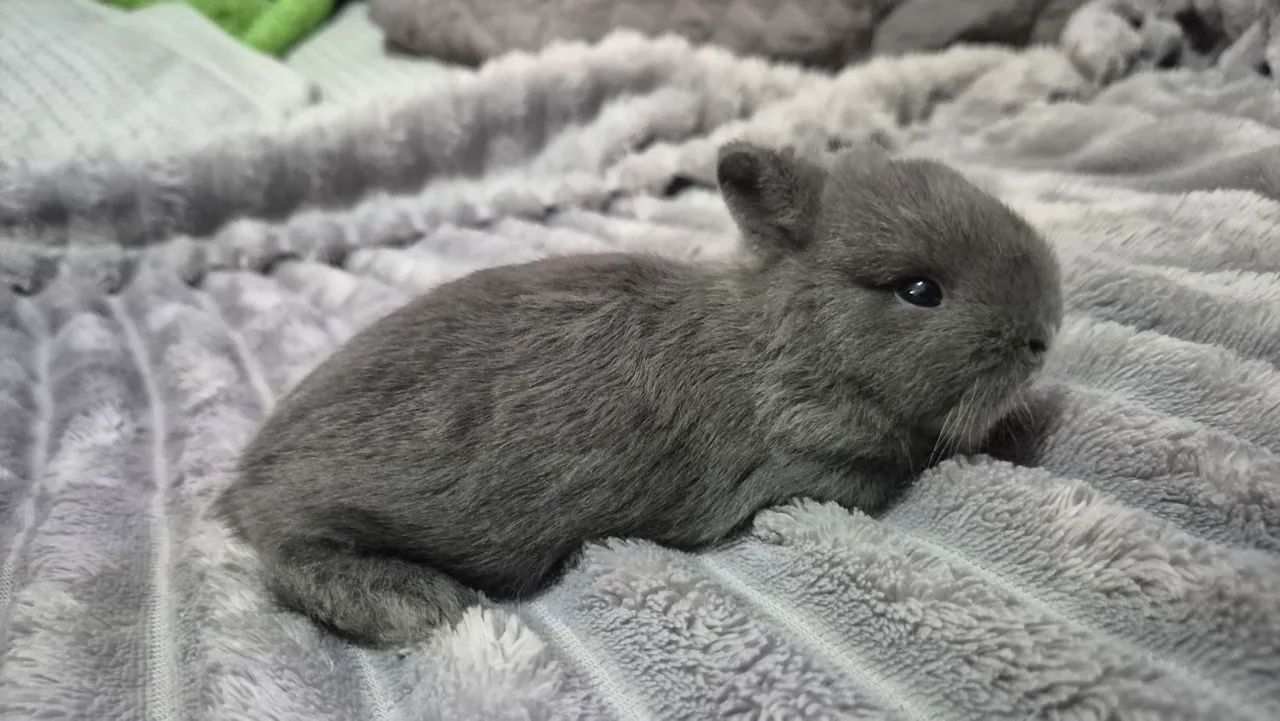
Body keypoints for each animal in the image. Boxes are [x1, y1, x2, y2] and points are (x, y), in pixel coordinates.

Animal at [217, 140, 1063, 648]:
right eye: (920, 290)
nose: (1046, 330)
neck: (789, 341)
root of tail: (249, 480)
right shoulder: (813, 472)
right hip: (329, 525)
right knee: (292, 564)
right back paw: (423, 602)